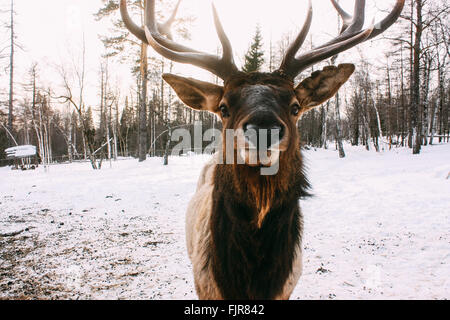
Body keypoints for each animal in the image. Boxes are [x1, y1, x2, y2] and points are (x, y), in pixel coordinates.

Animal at [119, 0, 404, 300]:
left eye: (295, 106)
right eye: (224, 107)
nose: (264, 129)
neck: (250, 280)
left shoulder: (286, 287)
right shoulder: (204, 285)